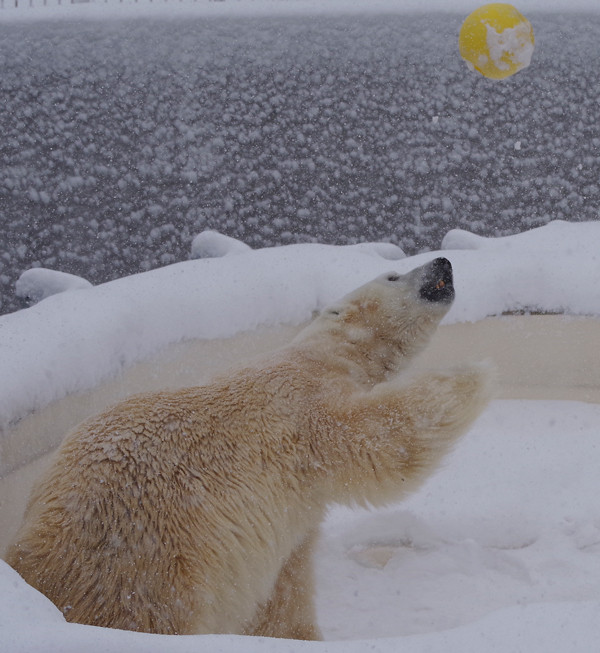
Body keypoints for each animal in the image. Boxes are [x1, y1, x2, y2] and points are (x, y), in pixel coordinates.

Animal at [4, 258, 490, 640]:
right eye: (393, 274)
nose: (443, 262)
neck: (327, 354)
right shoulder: (302, 408)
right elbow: (381, 440)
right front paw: (474, 371)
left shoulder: (285, 518)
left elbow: (281, 592)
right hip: (145, 559)